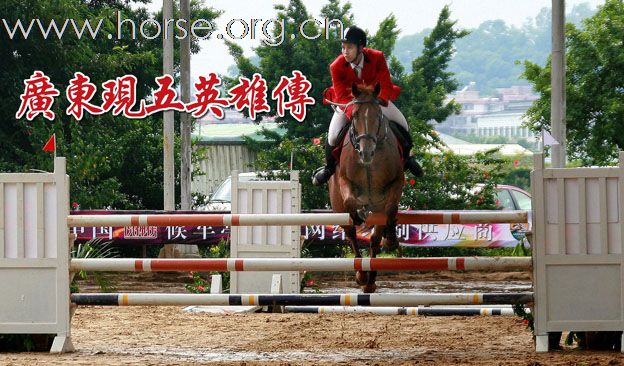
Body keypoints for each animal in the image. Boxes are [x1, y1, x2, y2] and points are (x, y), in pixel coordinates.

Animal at [326, 83, 404, 294]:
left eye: (378, 114)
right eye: (354, 115)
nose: (366, 152)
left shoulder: (396, 182)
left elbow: (391, 209)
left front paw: (391, 240)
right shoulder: (344, 182)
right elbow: (350, 202)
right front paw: (359, 215)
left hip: (378, 208)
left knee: (375, 239)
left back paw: (371, 281)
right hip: (338, 207)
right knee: (351, 234)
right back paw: (361, 276)